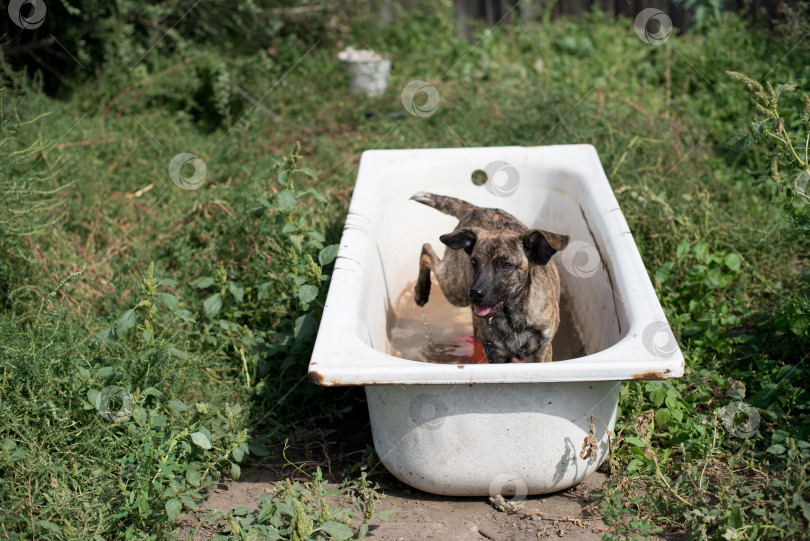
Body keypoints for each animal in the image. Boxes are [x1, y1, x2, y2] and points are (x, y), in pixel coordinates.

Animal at [410, 190, 568, 362]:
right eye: (474, 262)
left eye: (506, 265)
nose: (475, 293)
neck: (512, 317)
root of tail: (477, 208)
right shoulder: (496, 355)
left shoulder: (543, 350)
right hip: (456, 287)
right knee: (426, 250)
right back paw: (420, 292)